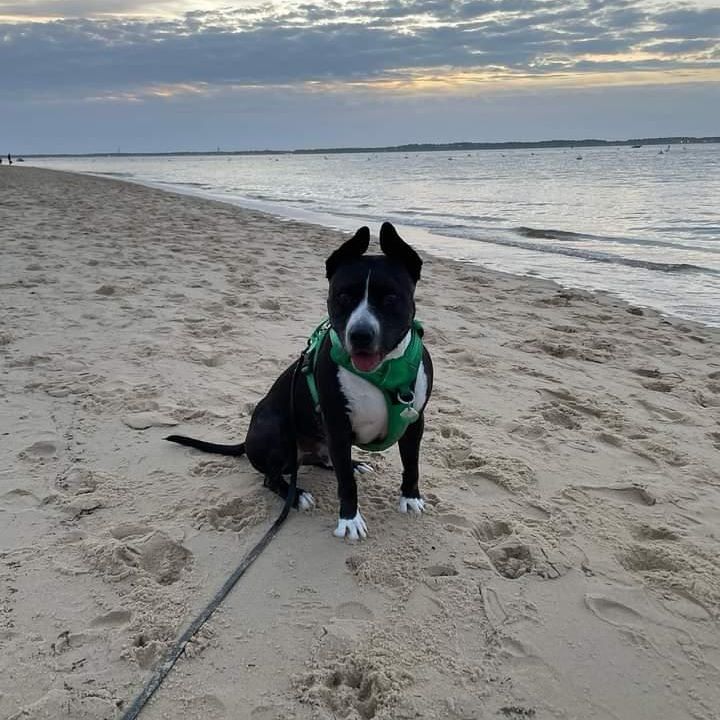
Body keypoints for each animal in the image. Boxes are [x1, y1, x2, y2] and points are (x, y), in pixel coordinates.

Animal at [167, 222, 434, 536]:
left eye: (390, 298)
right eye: (342, 297)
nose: (360, 334)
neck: (384, 370)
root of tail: (247, 440)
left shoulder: (414, 421)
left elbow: (411, 463)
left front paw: (411, 497)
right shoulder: (337, 425)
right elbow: (346, 483)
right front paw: (349, 519)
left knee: (328, 461)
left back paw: (352, 464)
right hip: (276, 427)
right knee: (273, 477)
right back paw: (295, 495)